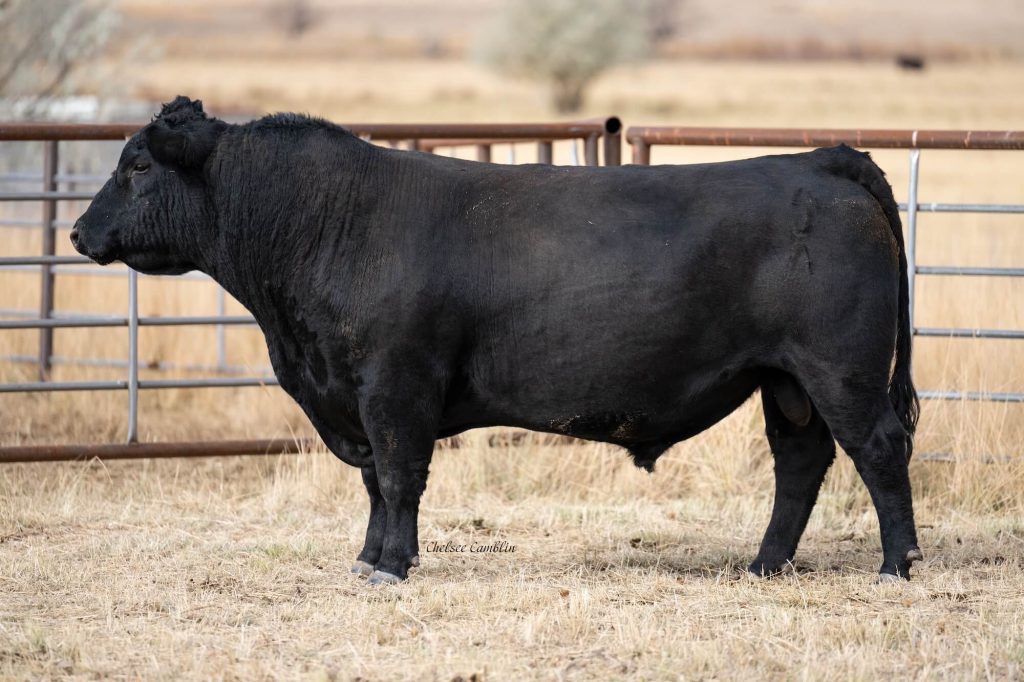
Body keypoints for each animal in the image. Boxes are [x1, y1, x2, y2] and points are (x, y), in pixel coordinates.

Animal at [72, 97, 922, 585]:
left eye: (137, 165)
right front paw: (368, 558)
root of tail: (820, 158)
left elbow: (400, 479)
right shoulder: (355, 397)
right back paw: (765, 565)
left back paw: (897, 566)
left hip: (840, 371)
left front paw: (390, 568)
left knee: (879, 451)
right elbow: (374, 484)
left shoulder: (395, 387)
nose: (78, 233)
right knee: (800, 464)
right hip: (787, 381)